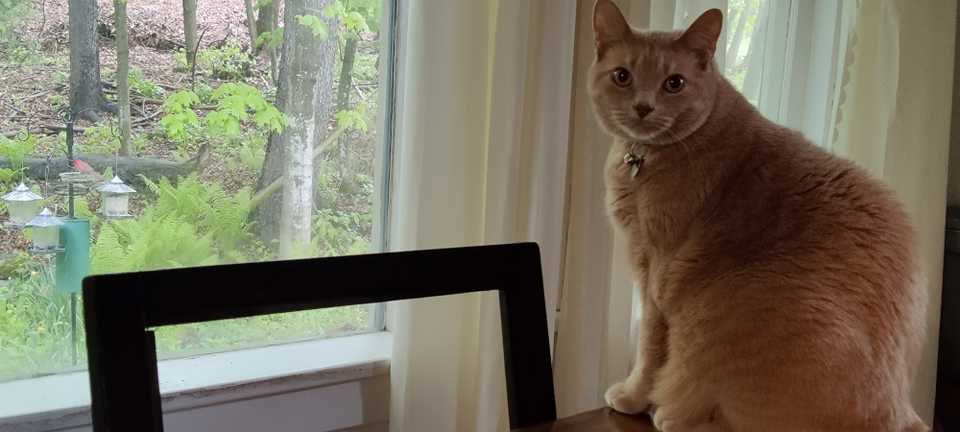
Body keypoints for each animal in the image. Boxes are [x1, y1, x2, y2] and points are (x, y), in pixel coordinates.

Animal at [592, 1, 928, 430]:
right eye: (623, 76)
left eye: (674, 83)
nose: (643, 106)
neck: (643, 159)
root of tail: (901, 411)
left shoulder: (654, 274)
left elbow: (650, 350)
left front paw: (633, 397)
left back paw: (672, 414)